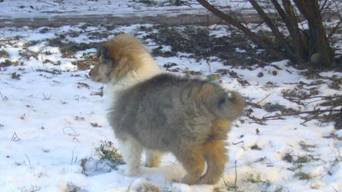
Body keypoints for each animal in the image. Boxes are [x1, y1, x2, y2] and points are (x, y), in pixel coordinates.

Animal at [88, 33, 243, 185]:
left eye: (101, 61)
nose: (89, 74)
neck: (128, 72)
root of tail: (207, 94)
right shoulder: (149, 131)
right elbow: (152, 154)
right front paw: (150, 167)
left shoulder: (126, 136)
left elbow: (132, 158)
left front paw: (128, 174)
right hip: (214, 137)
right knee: (218, 162)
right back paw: (207, 181)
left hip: (183, 142)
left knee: (197, 165)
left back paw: (184, 181)